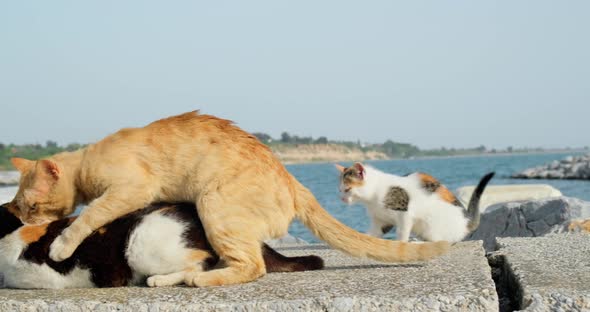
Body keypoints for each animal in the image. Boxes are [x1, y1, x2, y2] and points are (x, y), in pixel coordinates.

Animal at [338, 165, 494, 243]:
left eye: (347, 189)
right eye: (340, 190)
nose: (342, 199)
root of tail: (466, 222)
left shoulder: (404, 214)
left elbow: (402, 230)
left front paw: (401, 242)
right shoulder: (380, 220)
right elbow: (376, 231)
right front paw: (364, 237)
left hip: (432, 224)